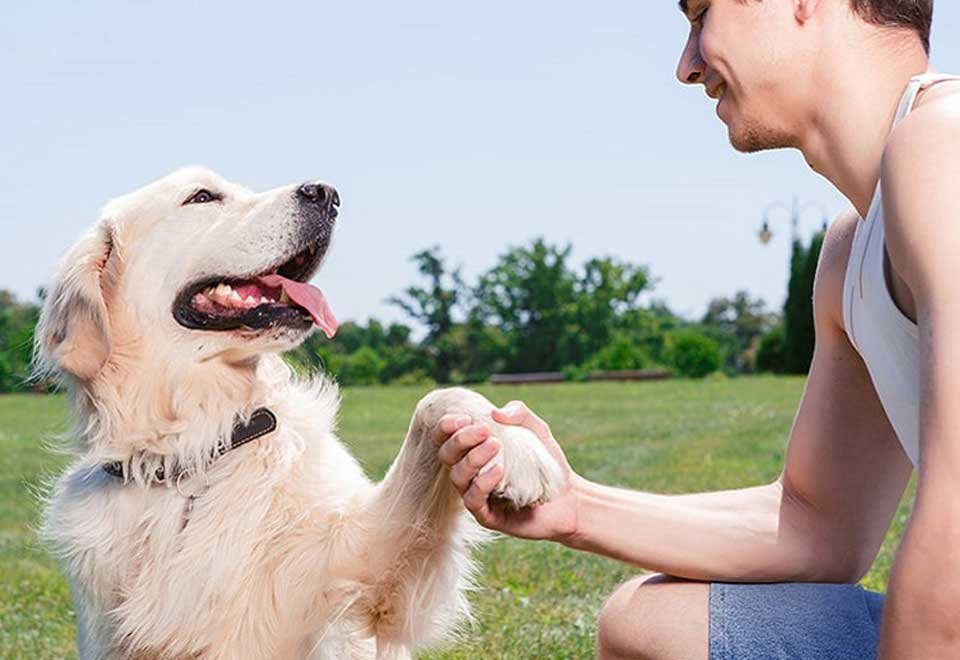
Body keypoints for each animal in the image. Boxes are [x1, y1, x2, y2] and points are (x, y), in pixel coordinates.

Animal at [35, 169, 564, 660]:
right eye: (201, 196)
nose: (326, 193)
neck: (202, 446)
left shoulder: (363, 578)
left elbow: (437, 399)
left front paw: (515, 449)